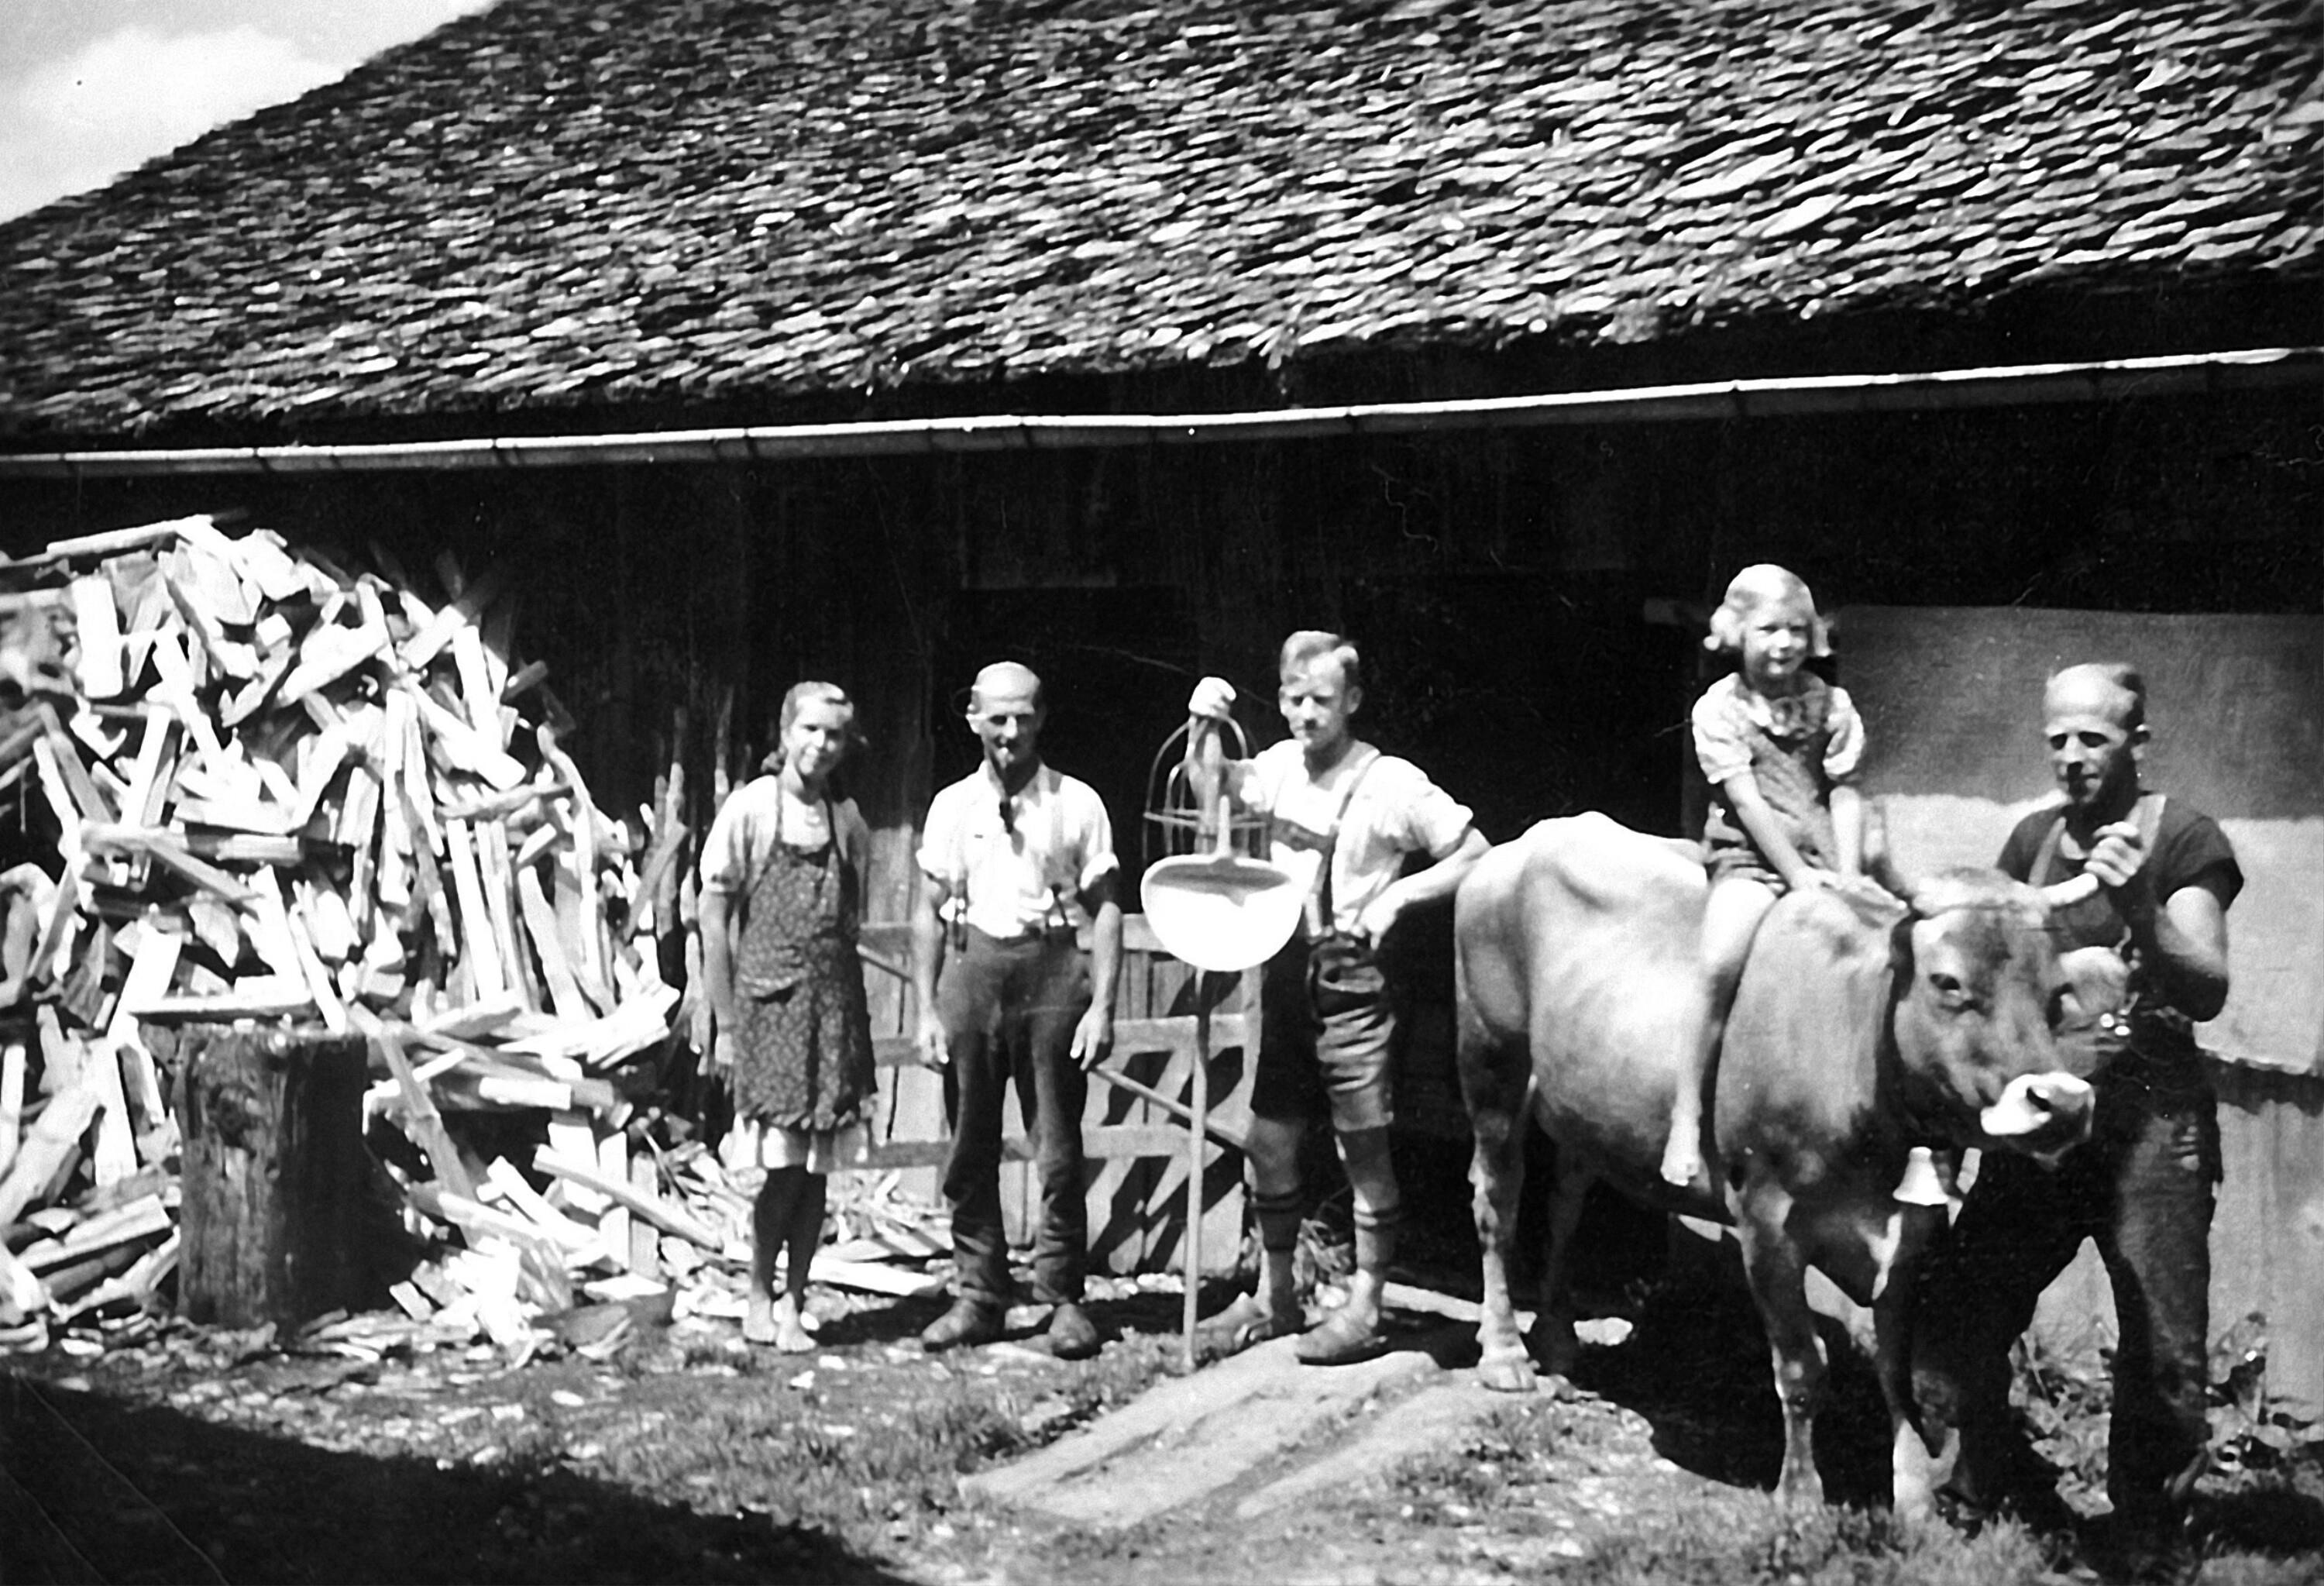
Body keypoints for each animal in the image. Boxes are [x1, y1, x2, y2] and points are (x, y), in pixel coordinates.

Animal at [1455, 813, 2100, 1518]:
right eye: (1948, 981)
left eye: (2058, 992)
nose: (2063, 1103)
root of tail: (1535, 837)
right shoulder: (1767, 1219)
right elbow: (1801, 1366)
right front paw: (1800, 1493)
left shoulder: (1913, 1232)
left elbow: (1895, 1365)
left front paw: (1913, 1495)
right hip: (1491, 1061)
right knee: (1497, 1202)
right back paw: (1505, 1351)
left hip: (1582, 1098)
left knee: (1566, 1199)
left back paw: (1557, 1336)